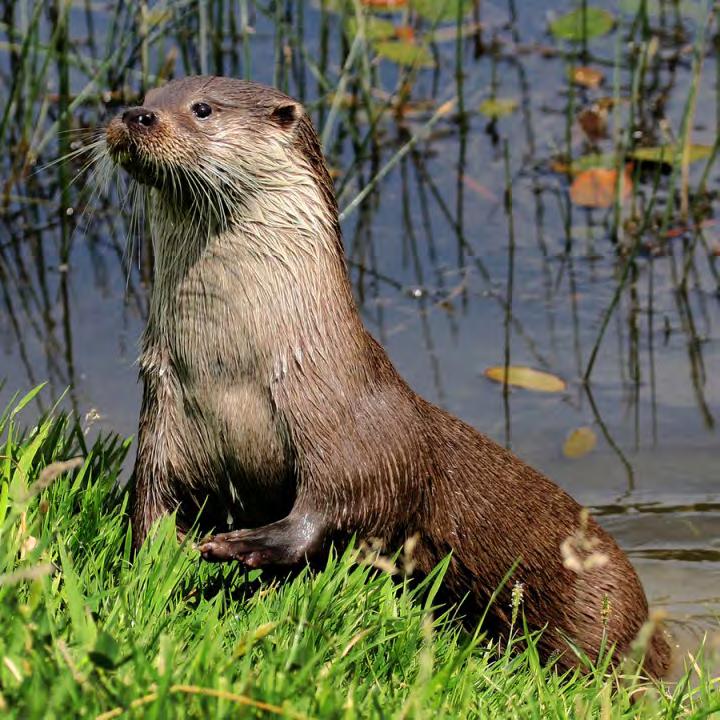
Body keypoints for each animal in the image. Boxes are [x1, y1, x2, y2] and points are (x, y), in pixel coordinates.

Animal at [105, 76, 668, 676]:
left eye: (202, 109)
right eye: (148, 95)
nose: (135, 115)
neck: (232, 373)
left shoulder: (351, 430)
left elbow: (343, 503)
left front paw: (245, 545)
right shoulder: (165, 414)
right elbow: (151, 504)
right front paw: (157, 567)